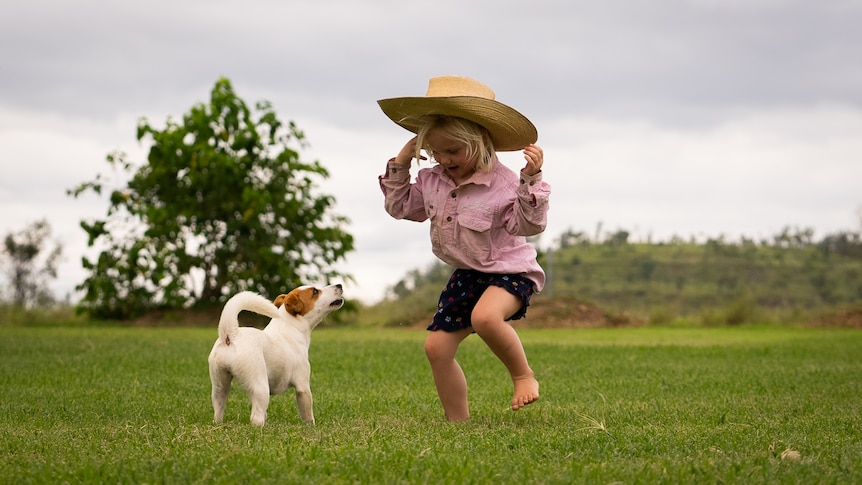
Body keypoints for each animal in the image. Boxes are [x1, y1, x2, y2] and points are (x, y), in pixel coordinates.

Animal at [208, 284, 344, 424]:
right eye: (315, 291)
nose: (339, 285)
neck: (292, 327)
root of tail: (231, 335)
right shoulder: (303, 386)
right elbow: (308, 414)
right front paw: (311, 426)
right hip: (260, 386)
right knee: (256, 417)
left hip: (219, 386)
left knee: (218, 409)